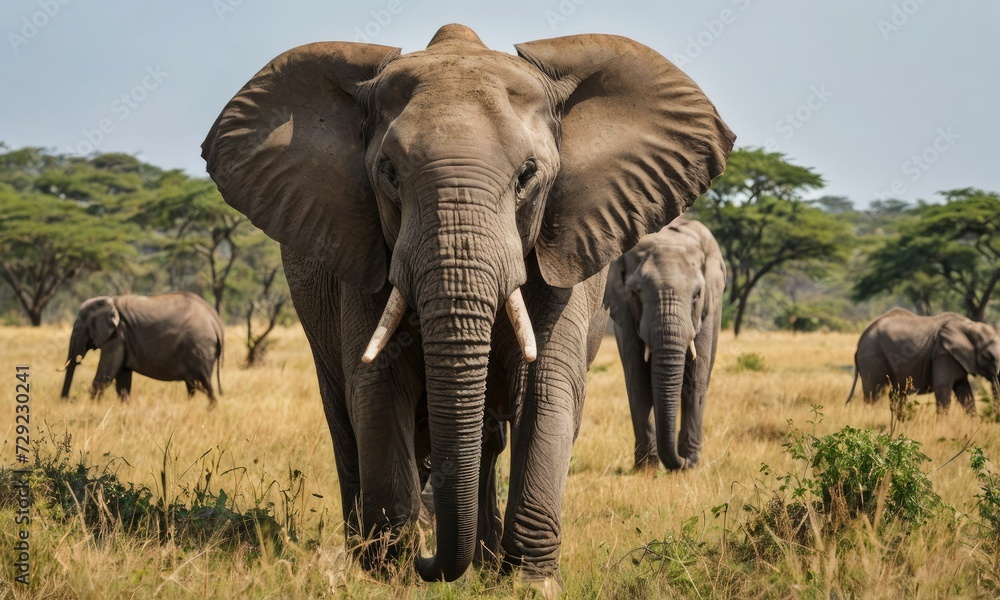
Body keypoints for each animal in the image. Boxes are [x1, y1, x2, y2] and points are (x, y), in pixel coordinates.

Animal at [59, 292, 224, 406]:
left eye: (79, 329)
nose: (68, 400)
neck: (111, 301)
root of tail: (214, 319)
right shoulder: (123, 338)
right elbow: (122, 378)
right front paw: (124, 407)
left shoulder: (118, 336)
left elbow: (106, 373)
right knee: (192, 385)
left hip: (202, 347)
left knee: (205, 383)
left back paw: (210, 409)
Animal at [600, 218, 728, 472]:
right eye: (635, 292)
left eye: (697, 294)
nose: (682, 462)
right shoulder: (626, 315)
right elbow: (638, 379)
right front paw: (647, 468)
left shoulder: (709, 307)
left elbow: (695, 378)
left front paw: (691, 463)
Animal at [848, 310, 1000, 412]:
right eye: (987, 357)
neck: (970, 326)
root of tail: (859, 342)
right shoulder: (943, 354)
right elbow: (942, 388)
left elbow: (964, 392)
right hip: (872, 358)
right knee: (874, 393)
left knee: (896, 394)